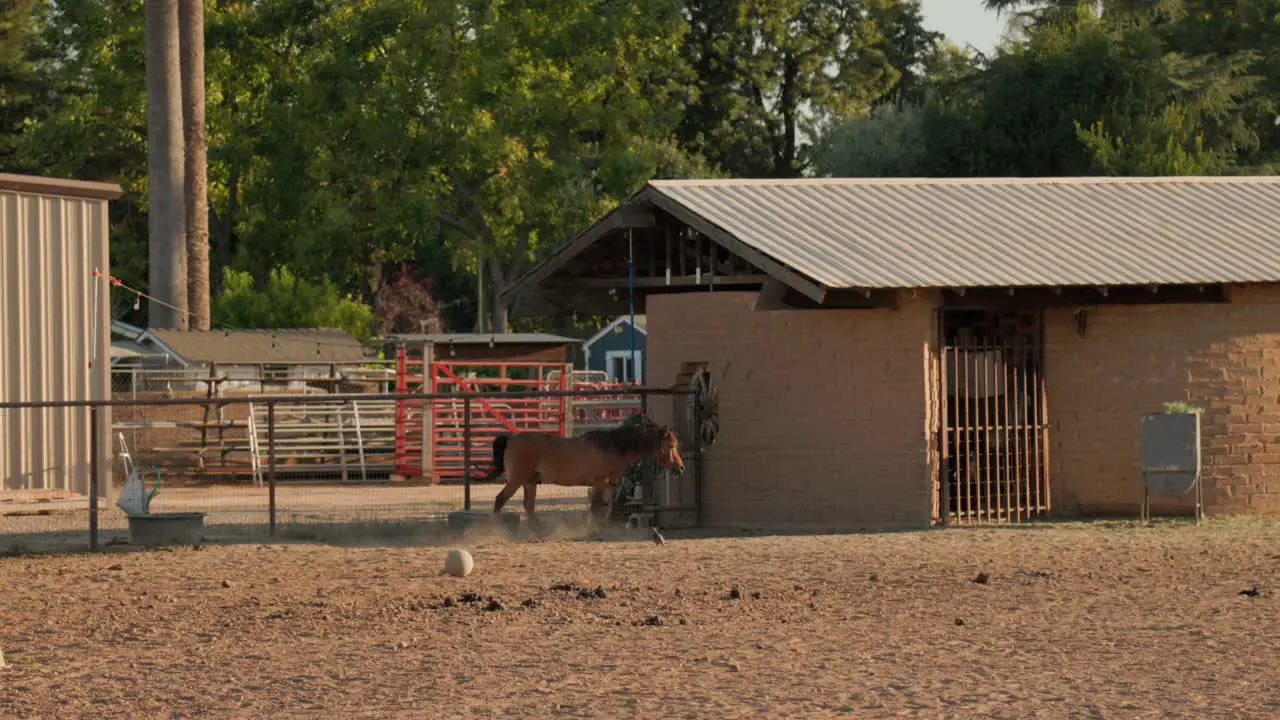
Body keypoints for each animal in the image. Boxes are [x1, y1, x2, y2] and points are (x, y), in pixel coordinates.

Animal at [476, 415, 686, 532]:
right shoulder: (599, 483)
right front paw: (591, 528)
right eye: (671, 445)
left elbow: (608, 506)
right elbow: (595, 507)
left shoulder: (610, 485)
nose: (681, 468)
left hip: (530, 482)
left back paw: (541, 531)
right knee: (500, 500)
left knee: (528, 507)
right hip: (517, 479)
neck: (613, 447)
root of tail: (511, 439)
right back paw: (491, 530)